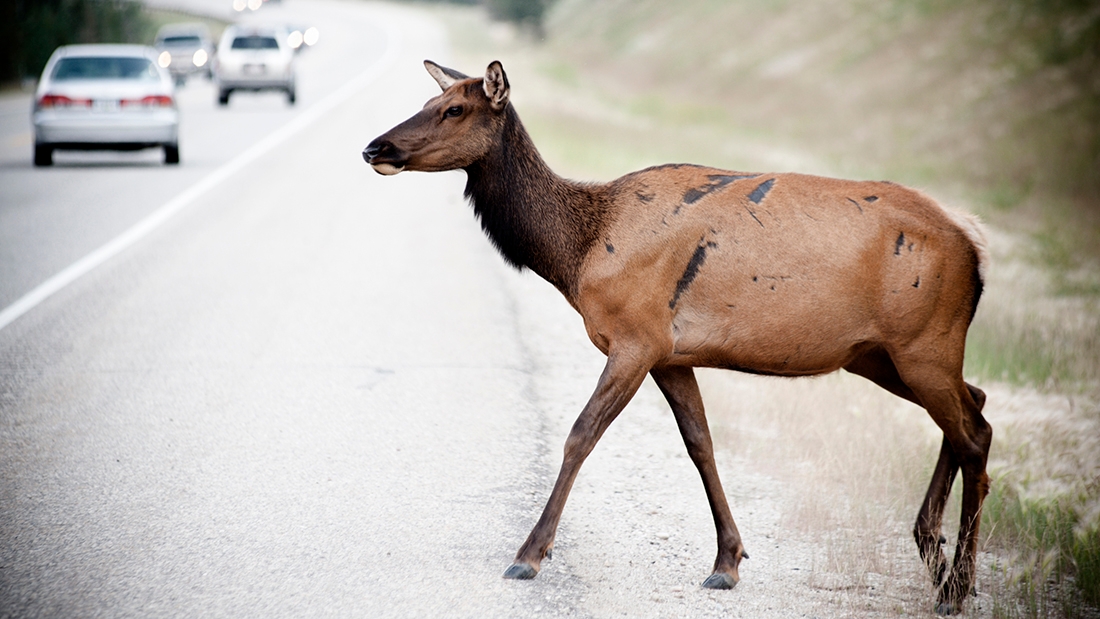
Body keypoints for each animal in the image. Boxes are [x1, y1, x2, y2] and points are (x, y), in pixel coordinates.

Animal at [365, 59, 994, 615]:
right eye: (430, 101)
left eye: (454, 109)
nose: (376, 148)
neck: (575, 254)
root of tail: (975, 246)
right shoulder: (670, 353)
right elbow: (700, 444)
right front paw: (727, 562)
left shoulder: (635, 337)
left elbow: (580, 435)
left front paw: (528, 555)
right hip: (881, 355)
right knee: (976, 406)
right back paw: (933, 556)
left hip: (925, 342)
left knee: (973, 435)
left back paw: (956, 587)